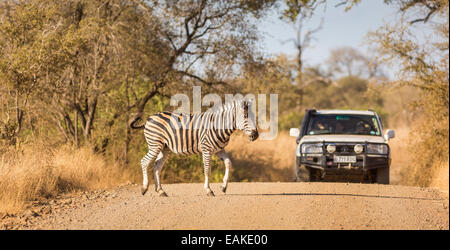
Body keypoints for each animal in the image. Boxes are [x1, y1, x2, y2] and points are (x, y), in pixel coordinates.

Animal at [128, 98, 258, 196]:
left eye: (253, 116)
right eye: (245, 116)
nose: (256, 135)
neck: (219, 126)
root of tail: (149, 118)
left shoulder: (219, 150)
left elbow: (228, 163)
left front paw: (224, 186)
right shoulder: (206, 149)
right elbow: (207, 169)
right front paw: (208, 190)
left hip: (164, 148)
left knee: (157, 166)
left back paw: (160, 191)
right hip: (155, 145)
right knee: (144, 162)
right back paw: (144, 188)